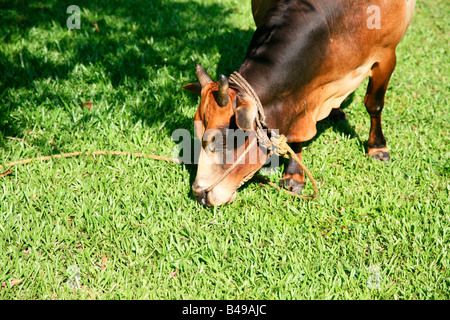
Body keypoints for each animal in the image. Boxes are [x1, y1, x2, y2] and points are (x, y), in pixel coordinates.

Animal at [185, 0, 416, 206]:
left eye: (223, 141)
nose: (199, 195)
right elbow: (294, 134)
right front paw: (294, 176)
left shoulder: (387, 55)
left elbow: (373, 104)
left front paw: (377, 148)